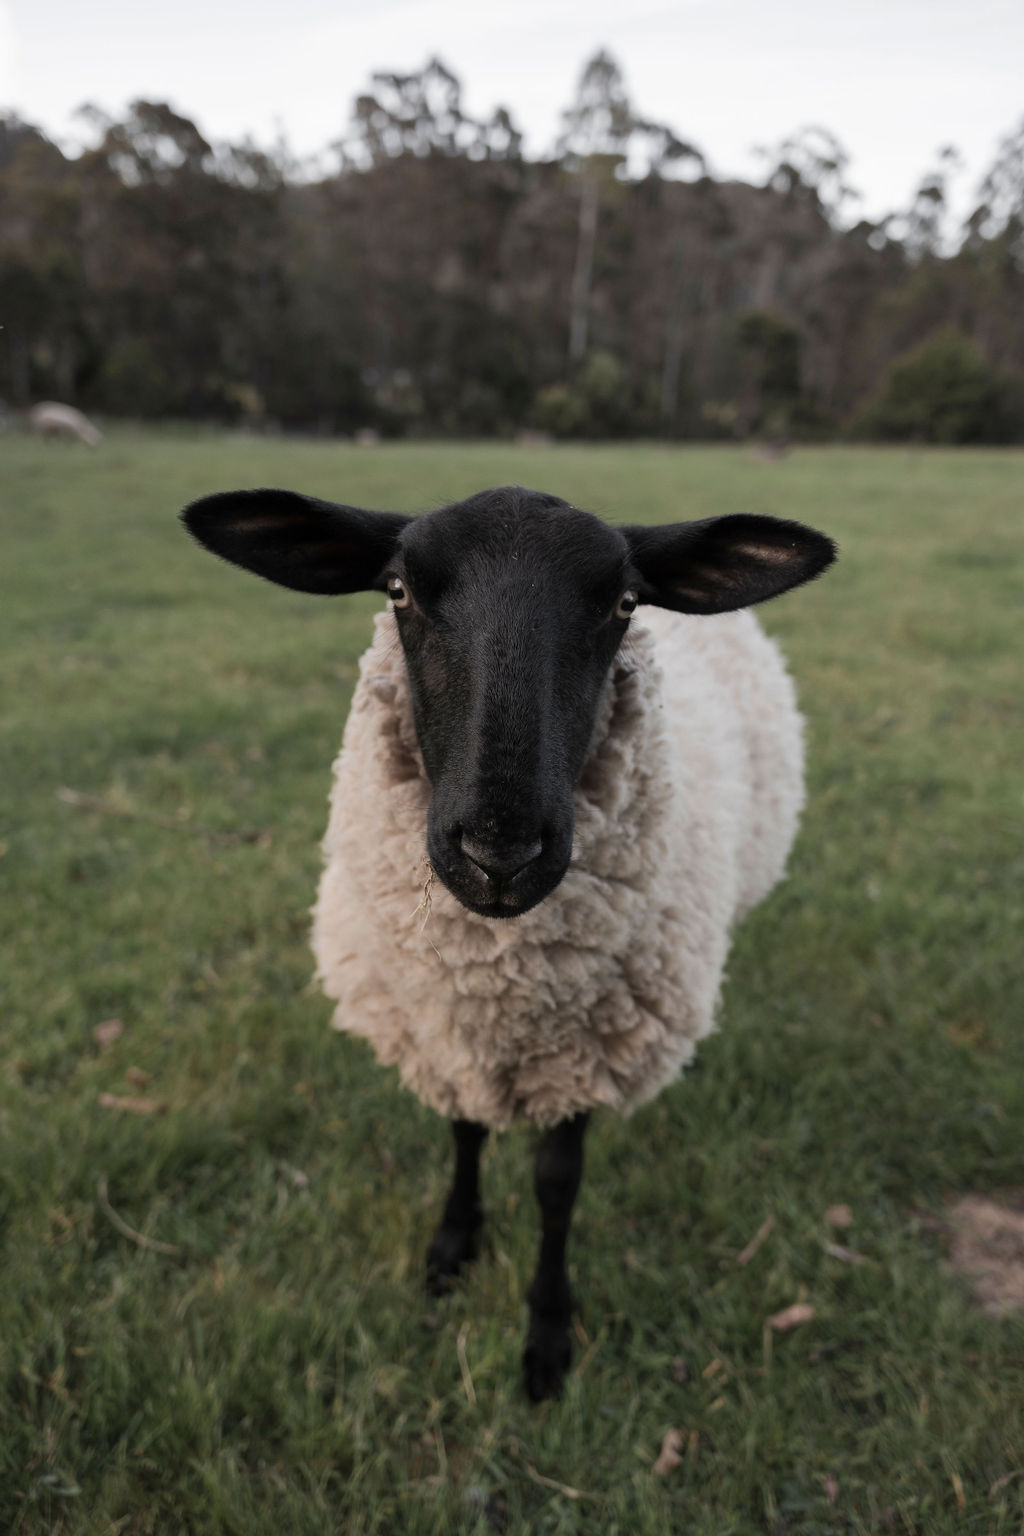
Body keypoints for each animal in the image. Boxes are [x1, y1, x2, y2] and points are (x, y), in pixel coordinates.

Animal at [182, 482, 835, 1401]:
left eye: (624, 602)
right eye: (399, 591)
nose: (500, 852)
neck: (497, 978)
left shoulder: (588, 1050)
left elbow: (557, 1186)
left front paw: (548, 1335)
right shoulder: (442, 1028)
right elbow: (463, 1134)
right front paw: (452, 1250)